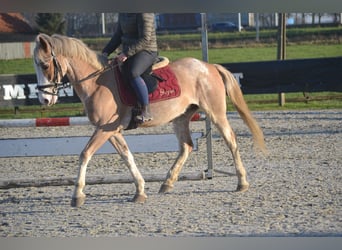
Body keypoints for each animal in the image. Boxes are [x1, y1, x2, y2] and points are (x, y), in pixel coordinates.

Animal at [33, 33, 266, 208]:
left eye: (44, 65)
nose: (44, 99)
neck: (97, 82)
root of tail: (209, 66)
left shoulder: (106, 129)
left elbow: (85, 154)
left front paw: (77, 195)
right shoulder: (111, 131)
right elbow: (127, 156)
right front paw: (140, 190)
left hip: (215, 113)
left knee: (231, 140)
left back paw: (242, 182)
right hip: (180, 118)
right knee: (187, 146)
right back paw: (167, 183)